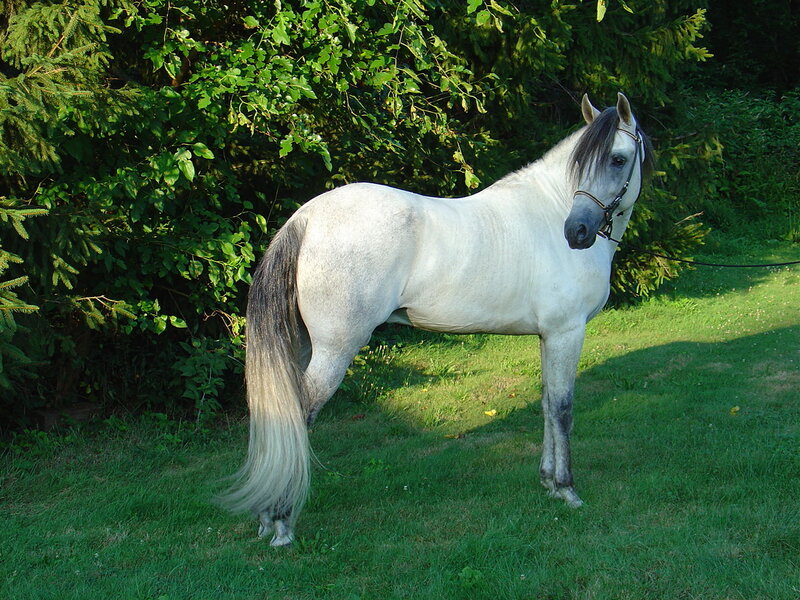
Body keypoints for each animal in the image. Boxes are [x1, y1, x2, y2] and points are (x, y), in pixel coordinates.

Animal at [222, 93, 654, 546]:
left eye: (618, 160)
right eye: (585, 163)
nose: (577, 232)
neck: (550, 211)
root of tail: (306, 217)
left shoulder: (548, 336)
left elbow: (547, 405)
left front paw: (548, 483)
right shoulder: (567, 332)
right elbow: (563, 408)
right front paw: (567, 490)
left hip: (305, 346)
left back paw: (268, 518)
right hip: (333, 351)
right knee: (299, 415)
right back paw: (282, 523)